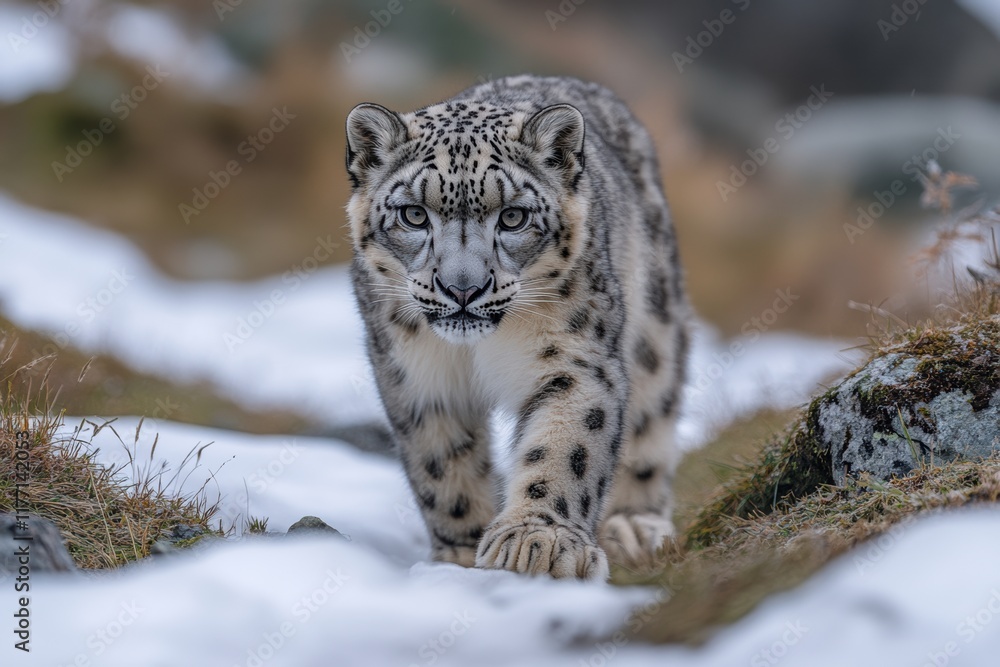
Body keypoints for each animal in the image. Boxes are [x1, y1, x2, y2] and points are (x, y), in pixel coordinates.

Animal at [345, 75, 689, 580]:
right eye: (414, 214)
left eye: (512, 217)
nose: (462, 288)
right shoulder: (414, 371)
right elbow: (440, 460)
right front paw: (460, 552)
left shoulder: (574, 357)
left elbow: (567, 447)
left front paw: (537, 541)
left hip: (655, 322)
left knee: (652, 412)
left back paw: (633, 524)